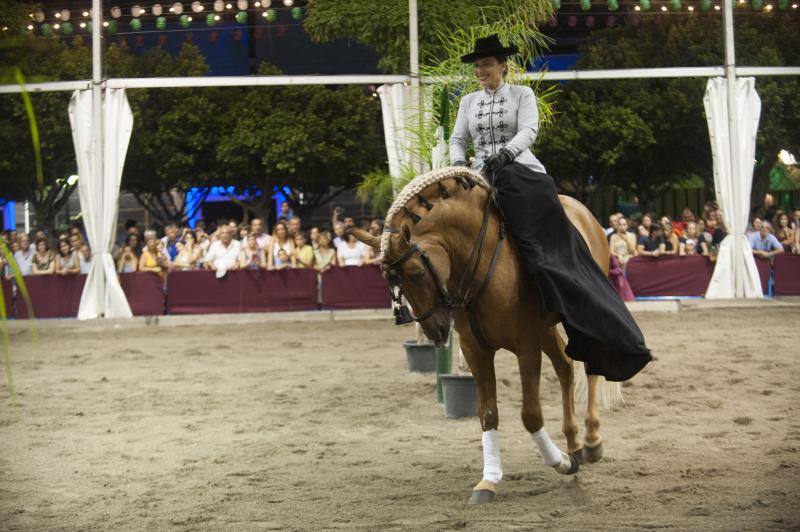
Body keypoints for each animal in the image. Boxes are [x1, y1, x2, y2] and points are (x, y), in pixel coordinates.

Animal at [350, 166, 620, 502]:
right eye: (391, 281)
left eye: (417, 273)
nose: (435, 330)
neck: (480, 262)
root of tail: (583, 210)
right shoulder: (475, 350)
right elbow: (487, 414)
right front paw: (489, 481)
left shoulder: (526, 346)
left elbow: (531, 415)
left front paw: (560, 462)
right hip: (546, 328)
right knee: (565, 367)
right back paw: (574, 444)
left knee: (591, 366)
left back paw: (592, 440)